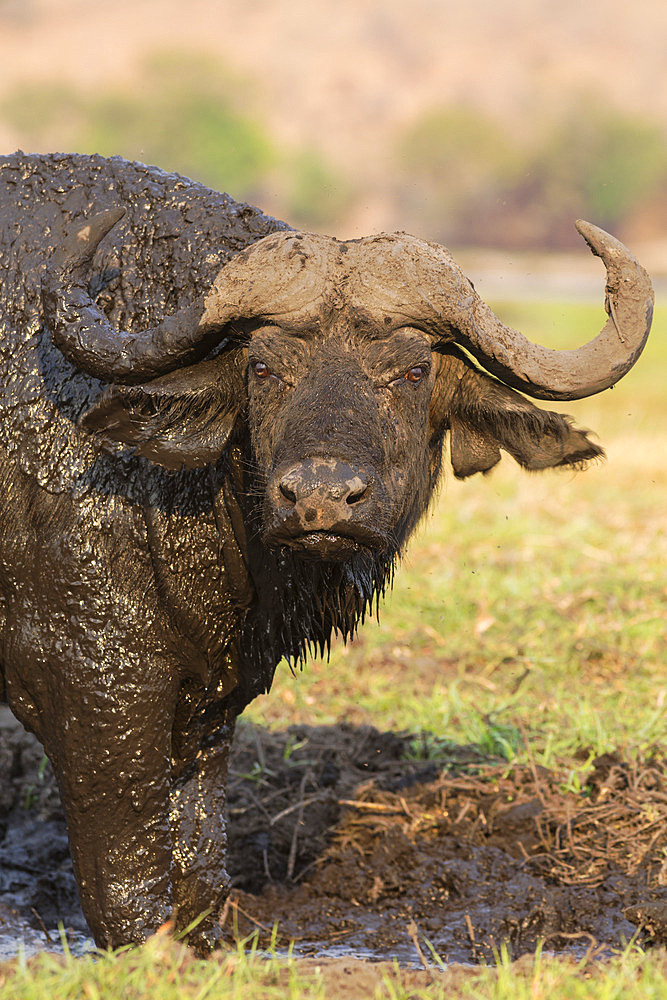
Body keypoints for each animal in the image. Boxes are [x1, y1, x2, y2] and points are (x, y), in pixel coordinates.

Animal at [0, 152, 656, 948]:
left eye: (412, 371)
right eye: (262, 368)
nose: (320, 497)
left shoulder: (209, 702)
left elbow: (197, 853)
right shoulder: (93, 685)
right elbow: (127, 881)